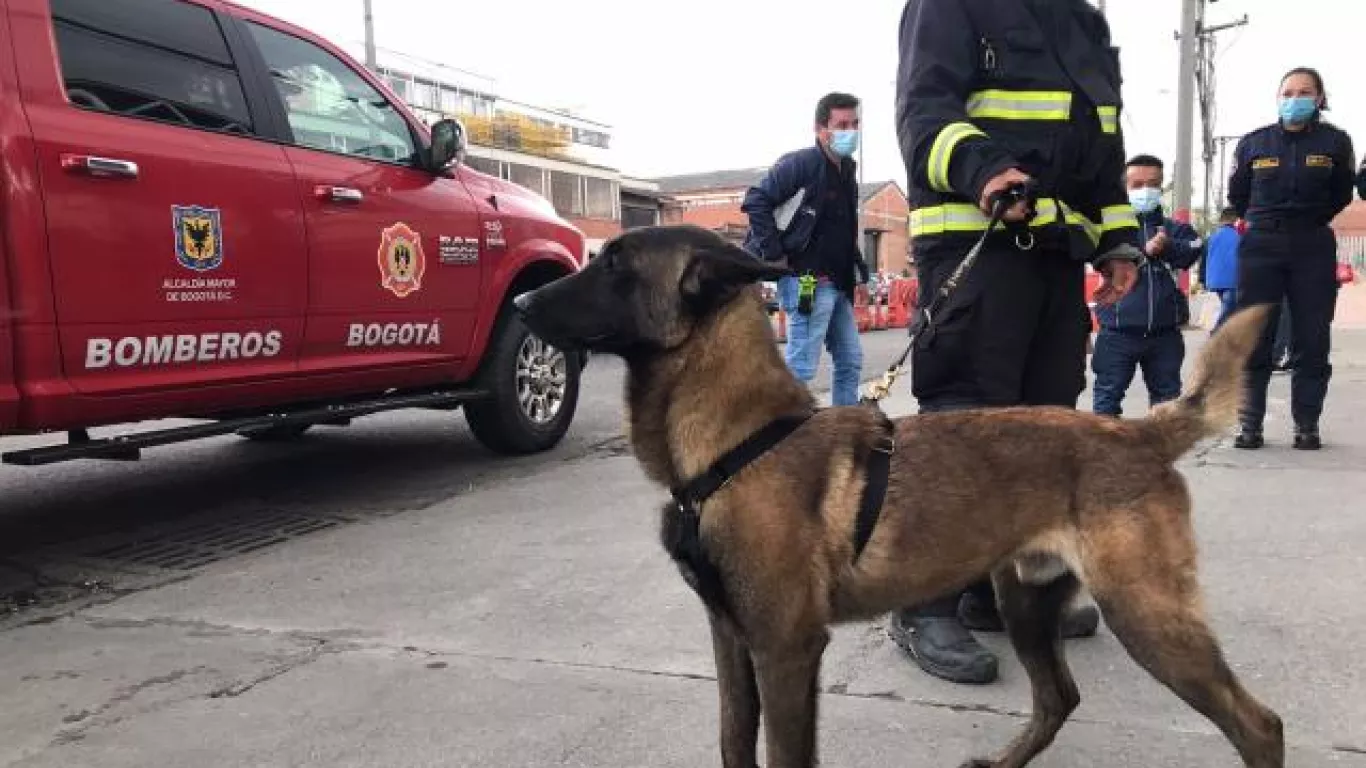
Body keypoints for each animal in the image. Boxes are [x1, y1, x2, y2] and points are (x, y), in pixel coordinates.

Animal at [513, 224, 1278, 759]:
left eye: (615, 265)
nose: (519, 300)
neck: (739, 441)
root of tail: (1141, 434)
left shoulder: (785, 649)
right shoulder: (730, 640)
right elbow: (734, 745)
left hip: (1147, 614)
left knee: (1260, 725)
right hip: (1027, 603)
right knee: (1058, 698)